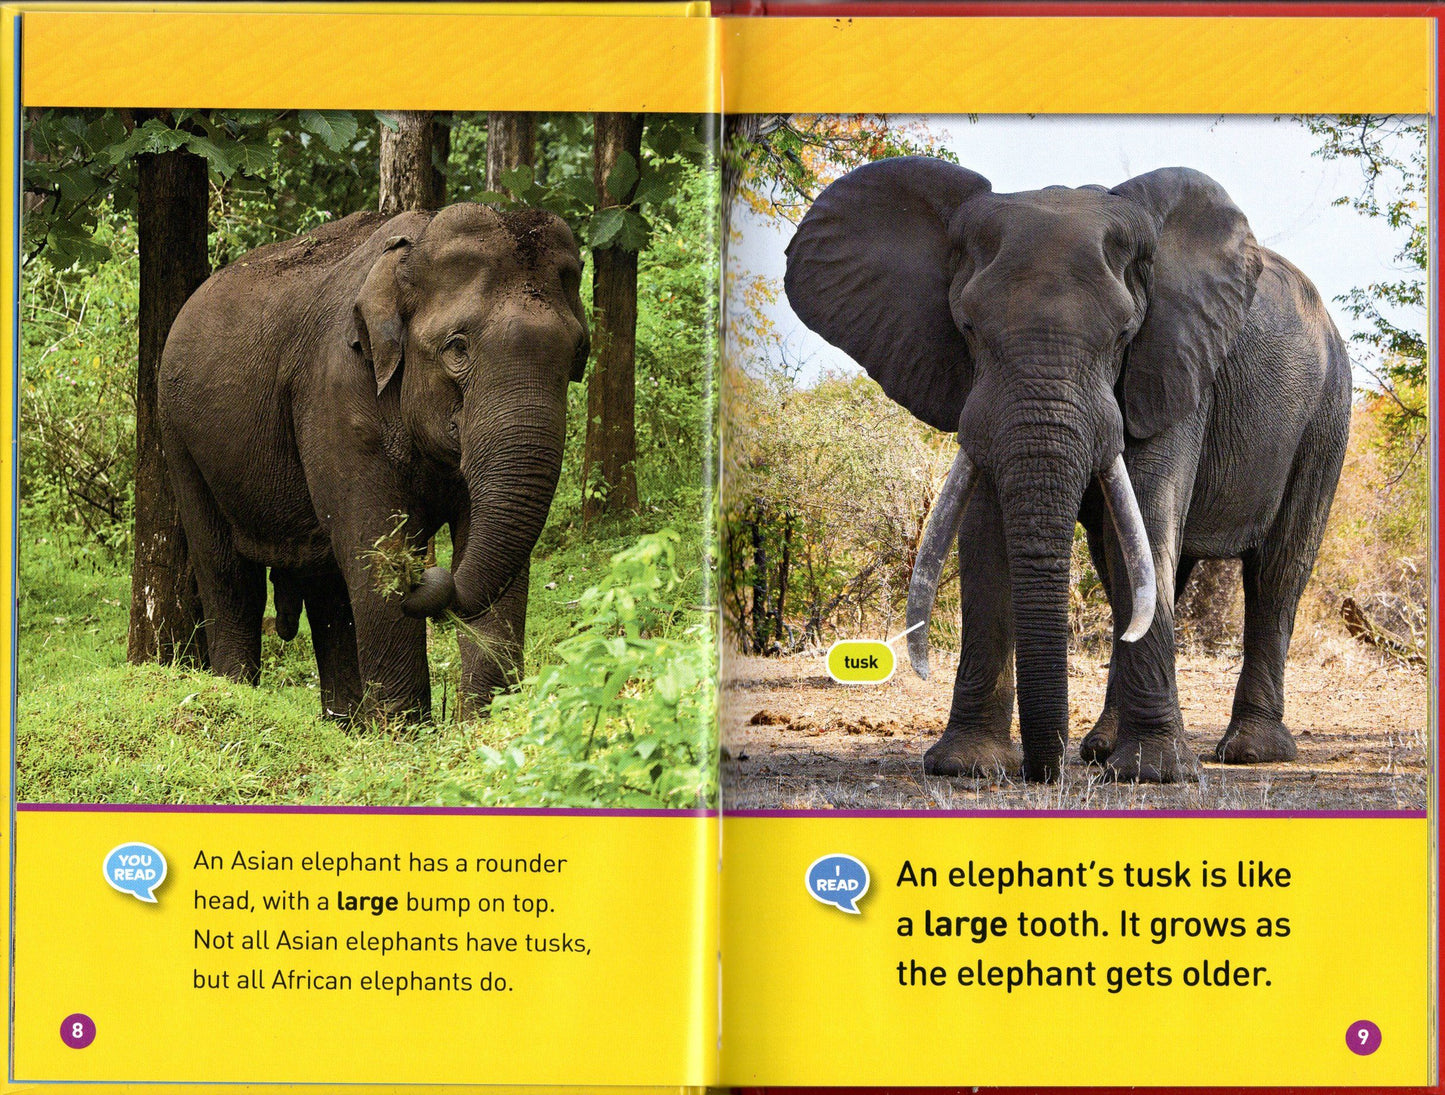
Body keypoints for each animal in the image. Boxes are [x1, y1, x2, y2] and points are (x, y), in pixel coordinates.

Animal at [159, 202, 589, 723]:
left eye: (577, 353)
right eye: (457, 348)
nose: (424, 573)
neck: (413, 248)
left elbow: (496, 556)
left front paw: (484, 727)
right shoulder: (337, 394)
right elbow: (372, 551)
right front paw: (408, 736)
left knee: (328, 590)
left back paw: (345, 727)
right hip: (181, 439)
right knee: (229, 577)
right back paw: (235, 692)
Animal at [784, 157, 1350, 783]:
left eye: (1124, 334)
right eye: (968, 328)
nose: (1043, 772)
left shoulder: (1172, 360)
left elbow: (1149, 508)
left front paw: (1155, 775)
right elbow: (987, 533)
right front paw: (968, 767)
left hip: (1327, 411)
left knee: (1278, 570)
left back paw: (1250, 752)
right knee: (1133, 570)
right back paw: (1101, 749)